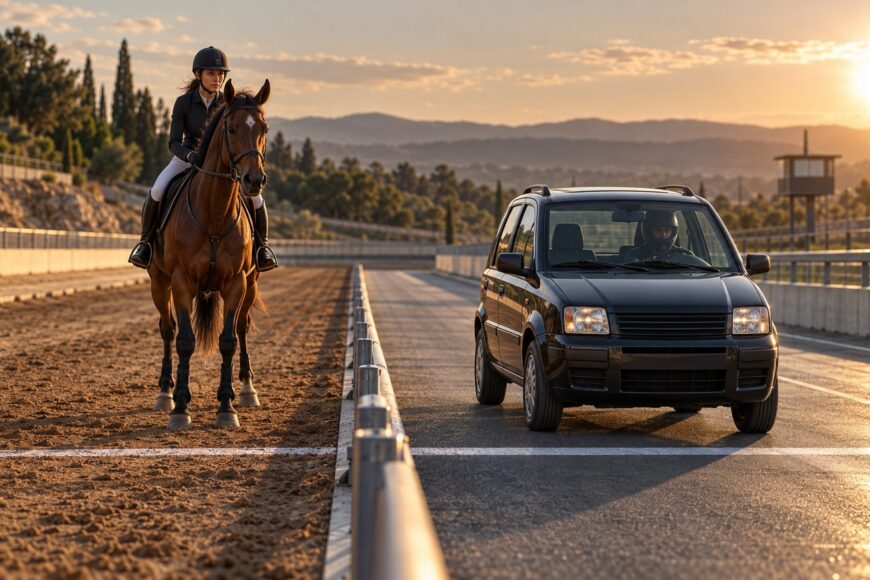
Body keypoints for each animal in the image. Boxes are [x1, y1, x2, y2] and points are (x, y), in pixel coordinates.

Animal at [148, 79, 271, 430]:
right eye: (230, 128)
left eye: (264, 128)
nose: (254, 180)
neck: (214, 212)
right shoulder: (181, 282)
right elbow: (185, 341)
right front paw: (180, 408)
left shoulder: (236, 283)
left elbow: (228, 340)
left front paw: (227, 407)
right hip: (158, 283)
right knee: (168, 329)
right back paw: (165, 393)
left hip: (252, 284)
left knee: (243, 327)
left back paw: (248, 390)